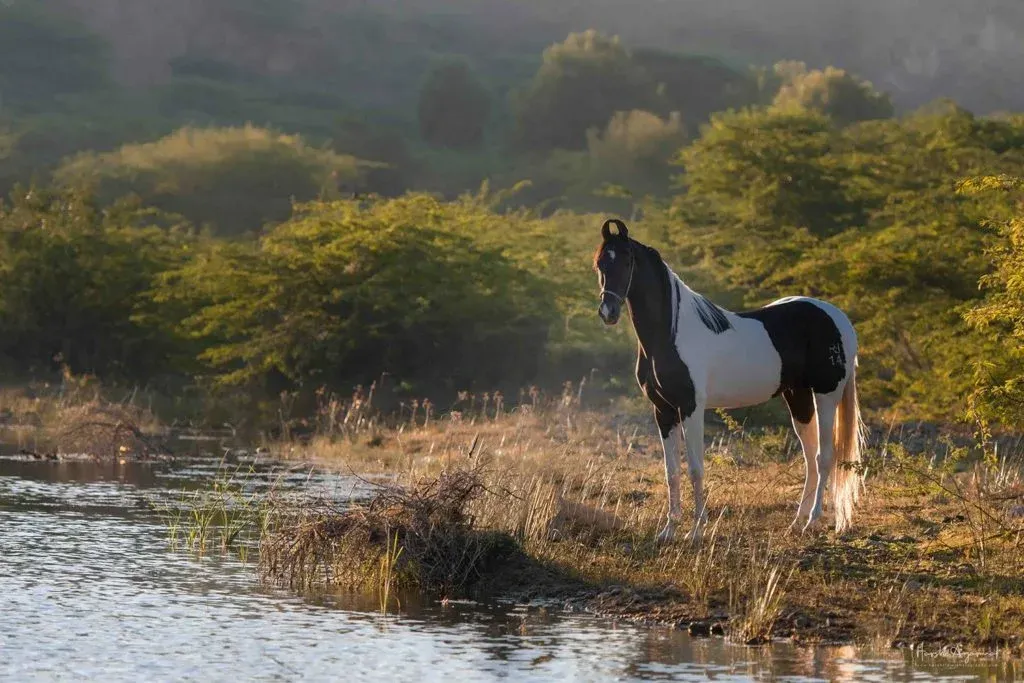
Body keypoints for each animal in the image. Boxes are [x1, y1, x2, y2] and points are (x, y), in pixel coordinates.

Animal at [593, 219, 864, 544]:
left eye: (627, 260)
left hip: (826, 394)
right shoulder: (663, 411)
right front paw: (668, 530)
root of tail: (838, 317)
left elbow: (696, 469)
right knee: (810, 456)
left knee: (825, 456)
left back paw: (812, 521)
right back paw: (797, 522)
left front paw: (696, 530)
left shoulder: (691, 408)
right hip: (797, 395)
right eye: (599, 263)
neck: (670, 334)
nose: (608, 313)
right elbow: (672, 472)